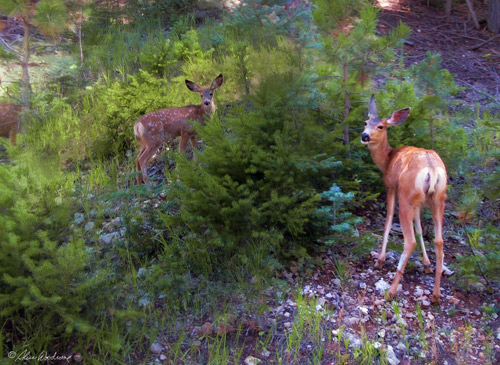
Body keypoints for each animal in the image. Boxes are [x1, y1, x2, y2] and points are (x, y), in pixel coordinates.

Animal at [362, 95, 452, 302]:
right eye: (366, 122)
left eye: (381, 126)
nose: (364, 135)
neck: (387, 159)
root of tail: (431, 169)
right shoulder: (419, 202)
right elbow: (419, 226)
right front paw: (426, 263)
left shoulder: (391, 186)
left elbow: (387, 219)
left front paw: (380, 259)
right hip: (438, 198)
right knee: (439, 240)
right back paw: (436, 294)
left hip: (406, 196)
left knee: (409, 241)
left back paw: (391, 290)